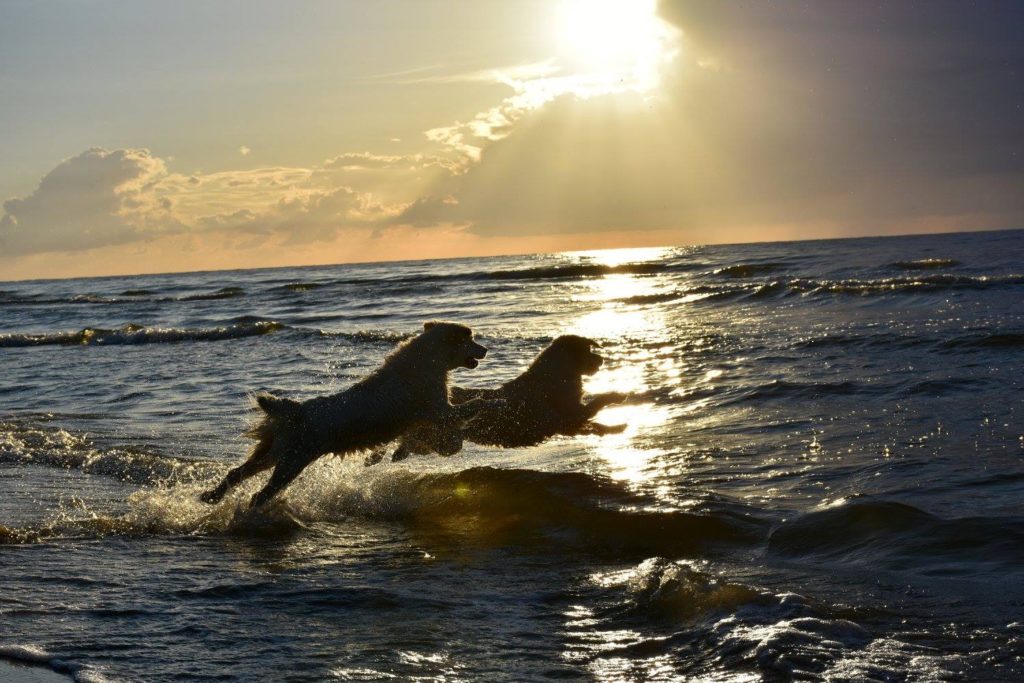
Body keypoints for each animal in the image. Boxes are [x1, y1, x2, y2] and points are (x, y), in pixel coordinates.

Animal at [199, 321, 498, 509]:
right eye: (471, 339)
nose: (486, 350)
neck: (427, 361)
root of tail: (298, 410)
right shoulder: (439, 411)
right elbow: (471, 407)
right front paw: (492, 401)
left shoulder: (425, 418)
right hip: (292, 461)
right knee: (260, 494)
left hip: (274, 451)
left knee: (237, 472)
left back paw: (211, 497)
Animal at [376, 335, 628, 463]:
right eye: (589, 350)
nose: (602, 360)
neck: (558, 375)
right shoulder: (570, 415)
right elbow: (598, 402)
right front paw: (619, 395)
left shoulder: (570, 424)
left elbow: (596, 426)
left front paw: (615, 428)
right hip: (445, 439)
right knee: (412, 442)